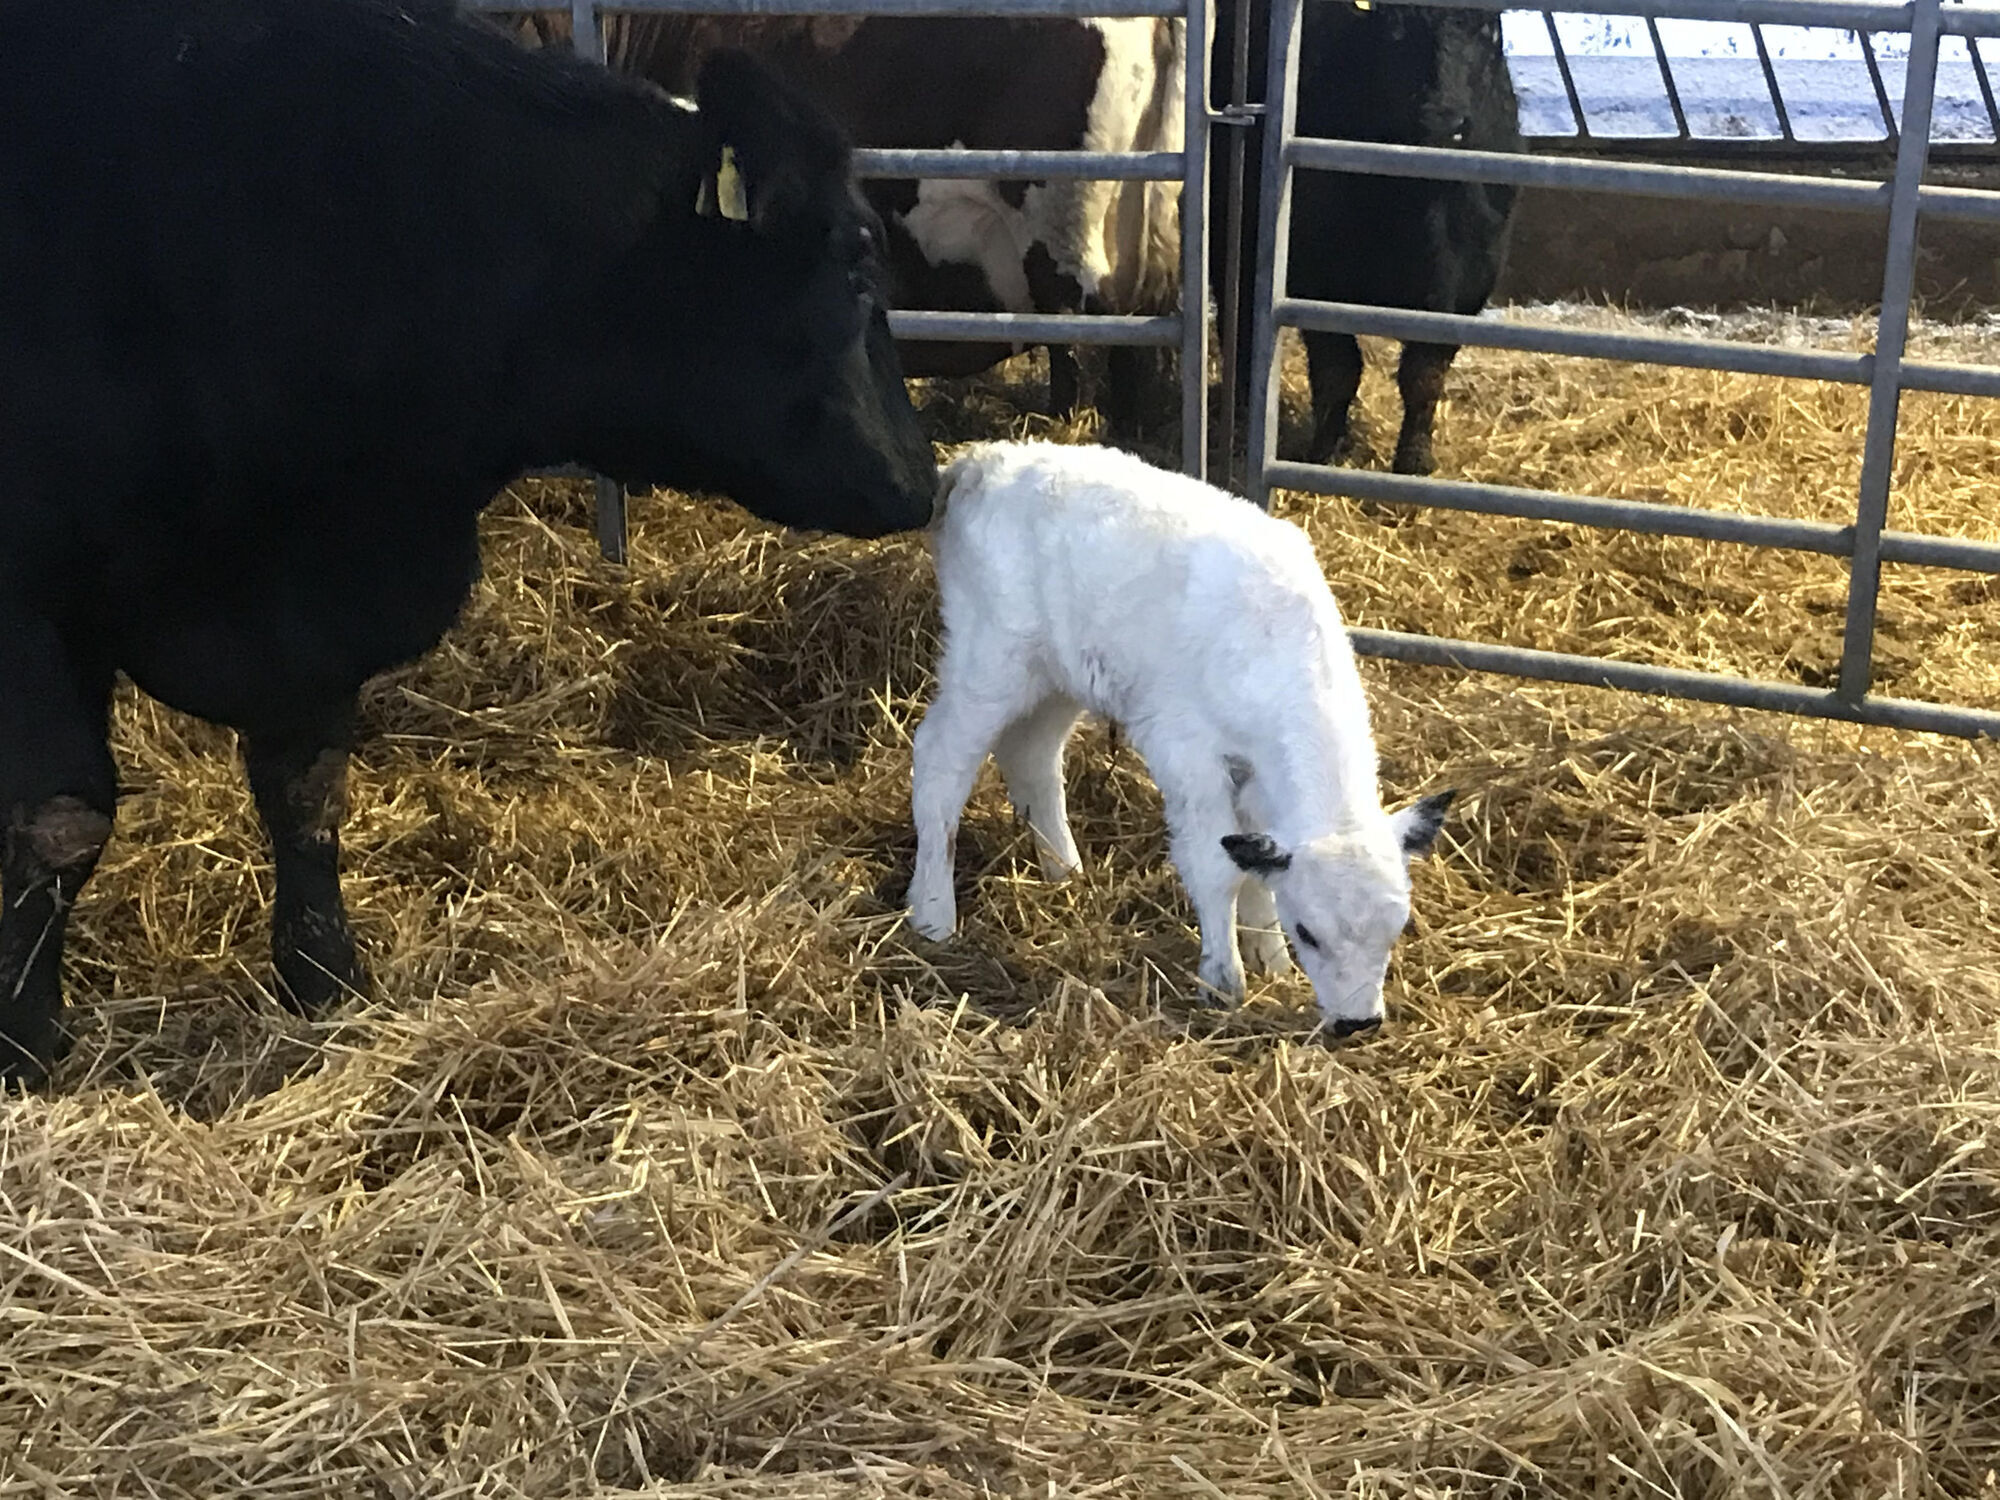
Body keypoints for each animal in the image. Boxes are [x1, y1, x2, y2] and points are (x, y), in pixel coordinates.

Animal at [0, 0, 939, 1088]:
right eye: (857, 261)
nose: (919, 479)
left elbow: (307, 791)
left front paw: (328, 983)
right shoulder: (30, 604)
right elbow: (63, 818)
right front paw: (25, 1040)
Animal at [1212, 0, 1521, 475]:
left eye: (1488, 29)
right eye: (1393, 28)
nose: (1442, 121)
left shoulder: (1467, 281)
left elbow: (1424, 374)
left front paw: (1414, 460)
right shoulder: (1311, 274)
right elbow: (1338, 371)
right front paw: (1322, 452)